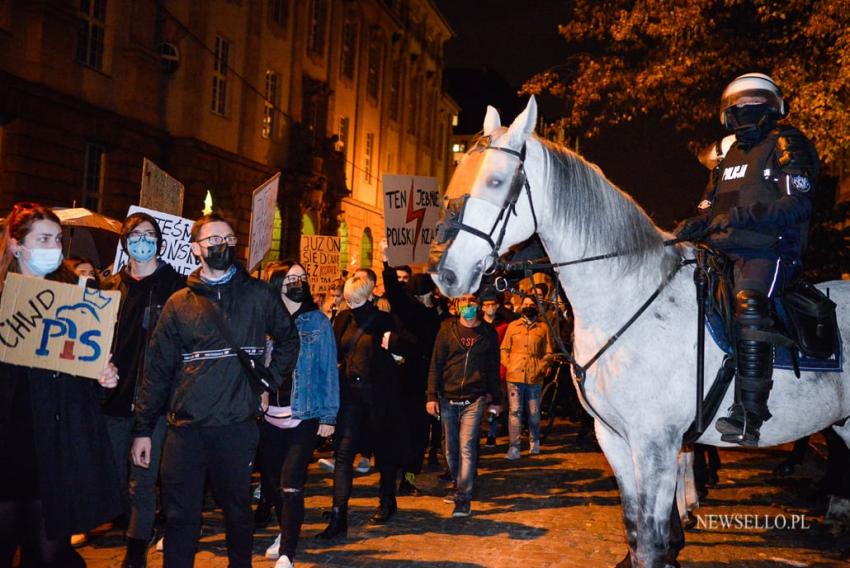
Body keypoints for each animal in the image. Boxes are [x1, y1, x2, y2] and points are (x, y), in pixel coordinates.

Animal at [430, 95, 848, 564]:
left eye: (497, 181)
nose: (445, 273)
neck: (627, 298)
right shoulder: (615, 439)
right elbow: (635, 531)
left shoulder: (655, 444)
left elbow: (651, 539)